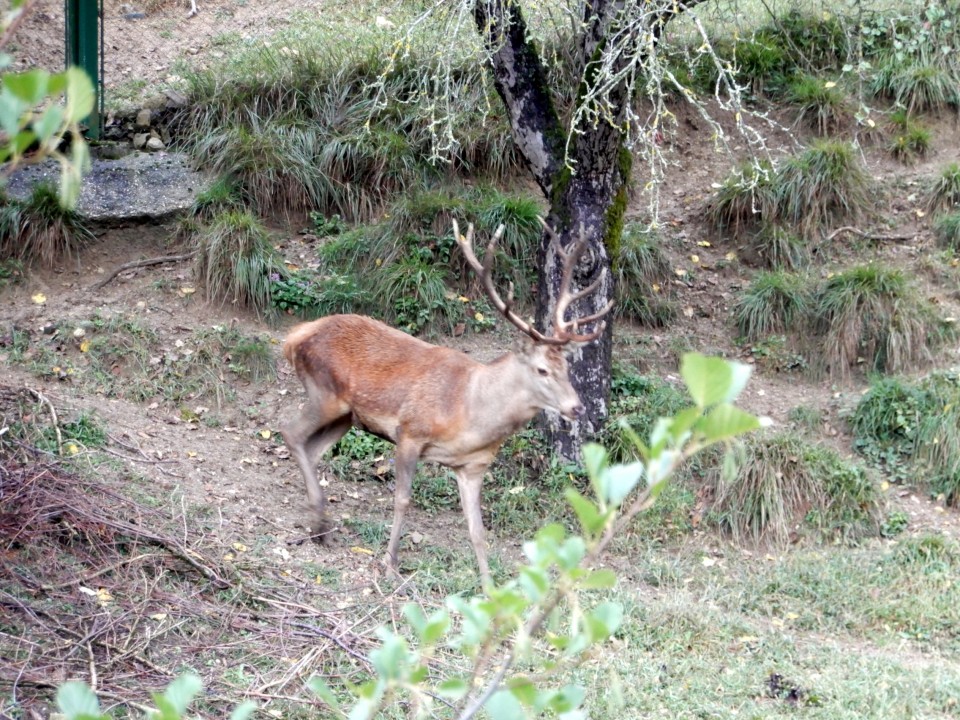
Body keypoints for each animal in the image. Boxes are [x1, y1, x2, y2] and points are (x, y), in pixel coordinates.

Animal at [278, 219, 612, 584]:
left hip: (346, 416)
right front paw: (390, 564)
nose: (576, 407)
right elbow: (402, 500)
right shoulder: (410, 431)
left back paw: (318, 524)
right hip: (325, 393)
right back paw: (319, 522)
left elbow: (477, 530)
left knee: (311, 449)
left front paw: (489, 586)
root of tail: (295, 336)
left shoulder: (474, 466)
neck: (468, 413)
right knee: (290, 432)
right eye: (542, 370)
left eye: (567, 367)